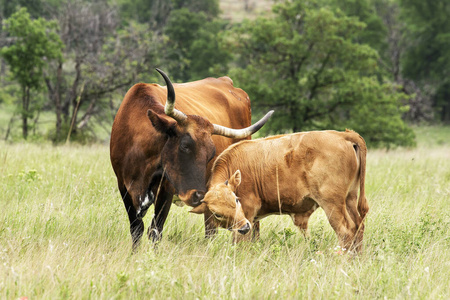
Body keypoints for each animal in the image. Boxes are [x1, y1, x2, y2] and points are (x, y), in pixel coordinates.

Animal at [110, 69, 274, 250]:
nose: (198, 195)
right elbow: (136, 229)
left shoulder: (165, 189)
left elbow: (155, 230)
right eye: (185, 146)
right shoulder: (123, 186)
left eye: (211, 153)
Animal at [190, 130, 370, 252]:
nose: (244, 227)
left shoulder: (248, 214)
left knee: (345, 231)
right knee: (358, 227)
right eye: (217, 213)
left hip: (332, 204)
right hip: (349, 199)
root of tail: (342, 135)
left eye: (236, 200)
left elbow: (242, 241)